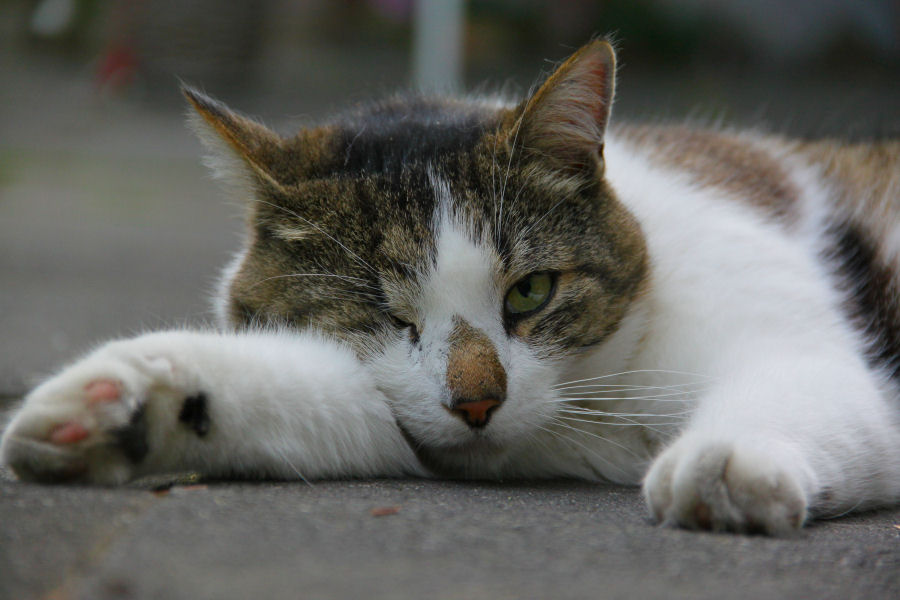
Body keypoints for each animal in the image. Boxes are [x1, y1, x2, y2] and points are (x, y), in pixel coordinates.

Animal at [1, 38, 900, 536]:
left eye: (532, 292)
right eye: (378, 311)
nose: (477, 402)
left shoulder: (794, 336)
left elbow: (802, 388)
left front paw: (726, 465)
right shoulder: (400, 412)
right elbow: (310, 393)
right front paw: (113, 406)